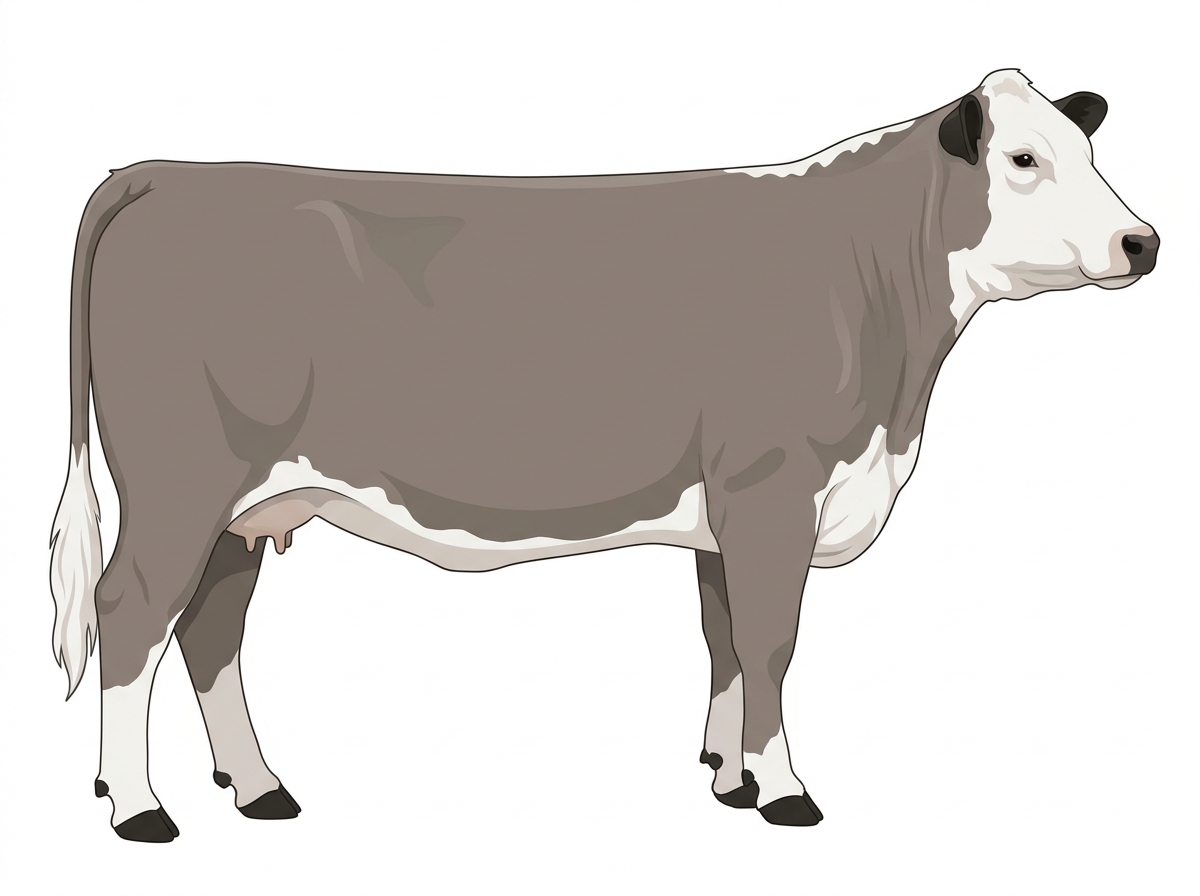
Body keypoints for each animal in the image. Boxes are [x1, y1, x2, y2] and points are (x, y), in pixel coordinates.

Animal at [49, 69, 1158, 842]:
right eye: (1023, 160)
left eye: (1086, 146)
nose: (1143, 241)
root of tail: (163, 171)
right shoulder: (774, 489)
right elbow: (772, 642)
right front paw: (784, 788)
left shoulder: (729, 511)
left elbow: (724, 639)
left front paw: (728, 777)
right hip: (182, 483)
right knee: (132, 611)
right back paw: (139, 807)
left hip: (247, 506)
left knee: (211, 626)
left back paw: (259, 787)